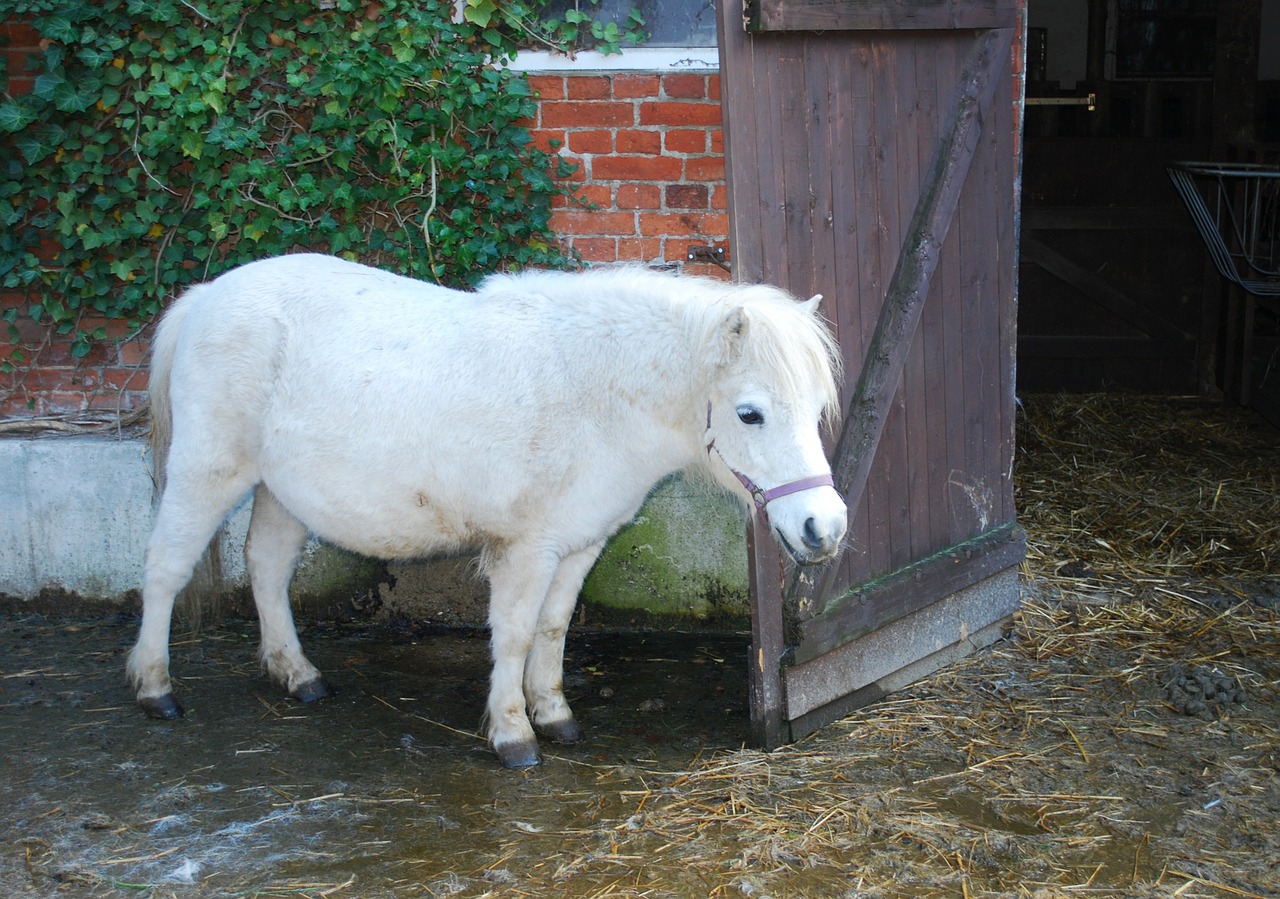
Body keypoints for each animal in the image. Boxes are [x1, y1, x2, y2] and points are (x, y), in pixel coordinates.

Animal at [127, 253, 849, 768]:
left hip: (282, 491)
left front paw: (553, 714)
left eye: (816, 408)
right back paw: (156, 688)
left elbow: (554, 630)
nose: (826, 528)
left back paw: (297, 673)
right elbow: (516, 633)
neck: (591, 391)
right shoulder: (526, 548)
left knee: (268, 567)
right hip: (208, 473)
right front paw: (512, 733)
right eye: (750, 413)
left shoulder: (579, 543)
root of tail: (206, 297)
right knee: (164, 569)